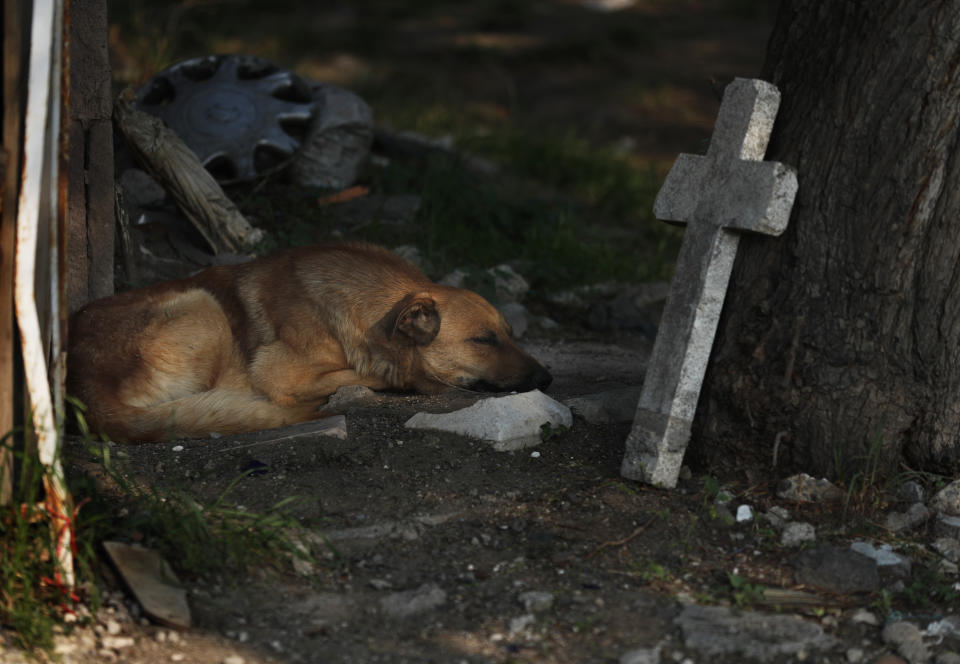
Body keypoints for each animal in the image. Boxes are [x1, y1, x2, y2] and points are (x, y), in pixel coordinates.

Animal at [67, 243, 552, 440]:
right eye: (483, 340)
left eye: (510, 335)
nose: (548, 377)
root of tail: (85, 392)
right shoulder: (278, 372)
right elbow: (366, 372)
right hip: (201, 305)